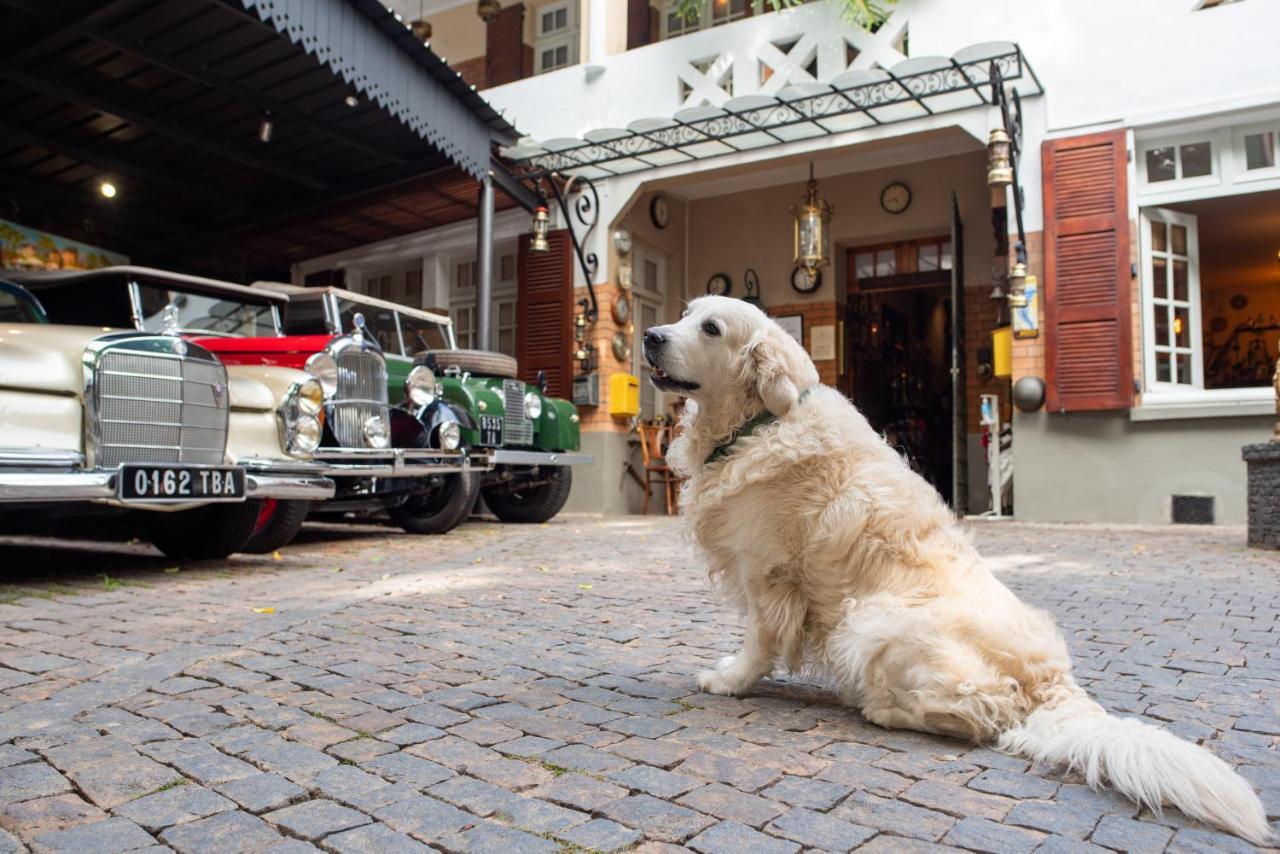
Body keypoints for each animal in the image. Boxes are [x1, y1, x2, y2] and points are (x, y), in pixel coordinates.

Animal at [650, 297, 1269, 845]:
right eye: (684, 313)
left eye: (710, 328)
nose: (651, 336)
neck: (756, 423)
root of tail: (1054, 680)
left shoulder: (767, 572)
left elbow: (758, 642)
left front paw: (730, 680)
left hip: (867, 621)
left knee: (980, 711)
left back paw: (880, 707)